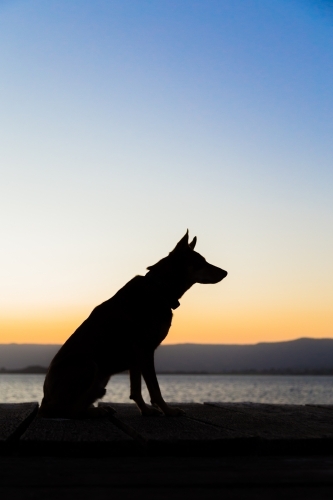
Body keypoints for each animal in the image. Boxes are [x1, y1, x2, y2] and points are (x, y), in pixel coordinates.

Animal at [38, 231, 226, 418]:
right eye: (200, 262)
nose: (225, 272)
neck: (160, 288)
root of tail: (45, 400)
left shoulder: (136, 356)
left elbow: (136, 389)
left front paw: (146, 411)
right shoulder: (144, 349)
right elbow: (154, 388)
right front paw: (168, 410)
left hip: (100, 380)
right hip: (89, 365)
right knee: (69, 409)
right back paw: (97, 412)